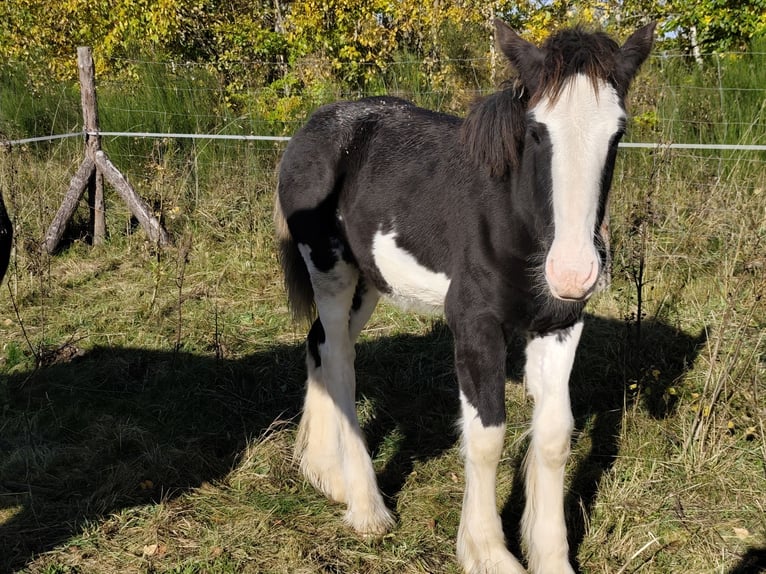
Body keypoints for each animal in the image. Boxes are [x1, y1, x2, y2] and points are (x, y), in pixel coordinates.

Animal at [274, 19, 655, 573]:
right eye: (535, 131)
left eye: (618, 132)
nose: (573, 272)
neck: (512, 216)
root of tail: (312, 128)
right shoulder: (474, 324)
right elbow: (487, 436)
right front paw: (487, 552)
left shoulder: (559, 324)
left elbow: (555, 435)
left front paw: (550, 557)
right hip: (331, 270)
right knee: (340, 361)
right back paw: (367, 509)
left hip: (369, 282)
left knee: (320, 343)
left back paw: (327, 474)